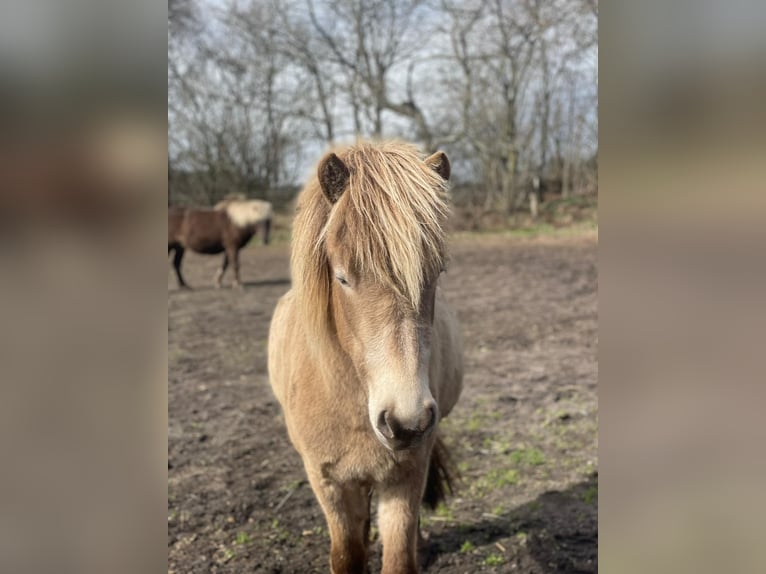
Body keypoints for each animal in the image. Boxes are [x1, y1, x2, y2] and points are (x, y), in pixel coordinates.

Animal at [268, 141, 463, 574]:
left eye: (437, 274)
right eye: (341, 277)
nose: (407, 422)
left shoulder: (406, 475)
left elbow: (400, 556)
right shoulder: (328, 482)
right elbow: (347, 553)